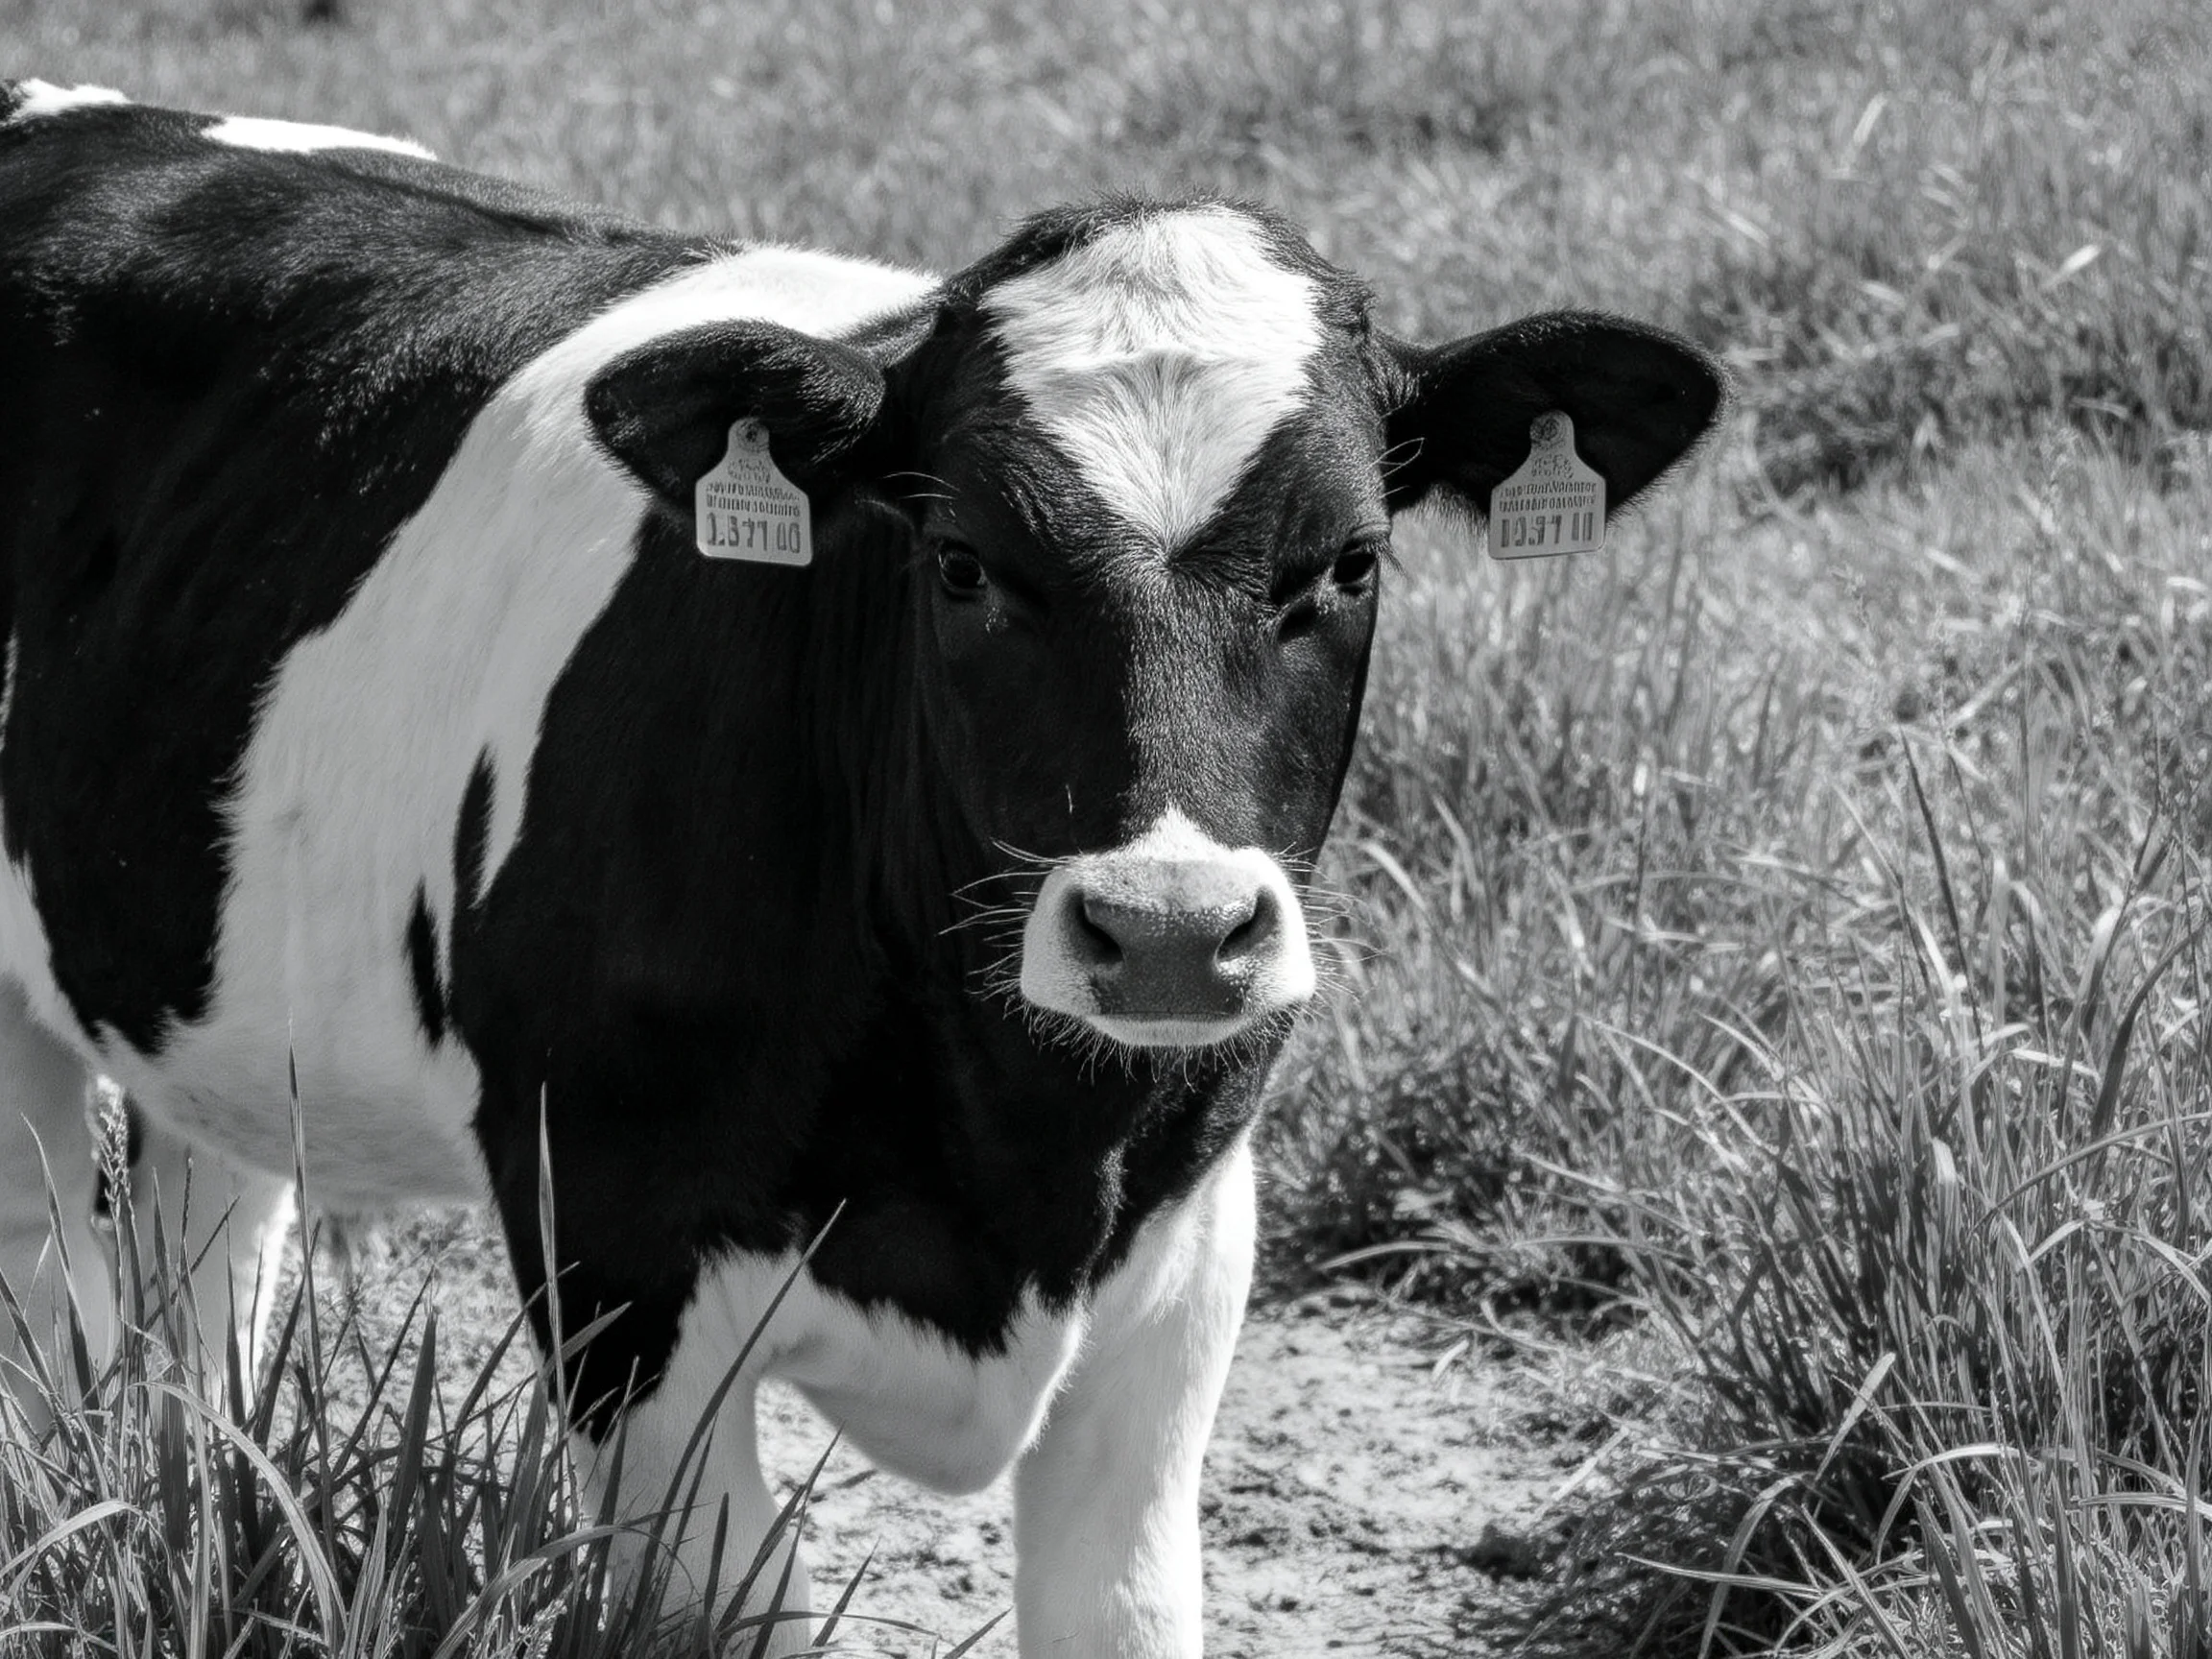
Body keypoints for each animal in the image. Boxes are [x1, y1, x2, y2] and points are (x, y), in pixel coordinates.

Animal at [0, 79, 1725, 1655]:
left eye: (1349, 562)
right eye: (959, 561)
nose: (1166, 932)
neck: (1013, 1156)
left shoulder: (1187, 1237)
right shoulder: (615, 1255)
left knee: (198, 1279)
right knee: (42, 1296)